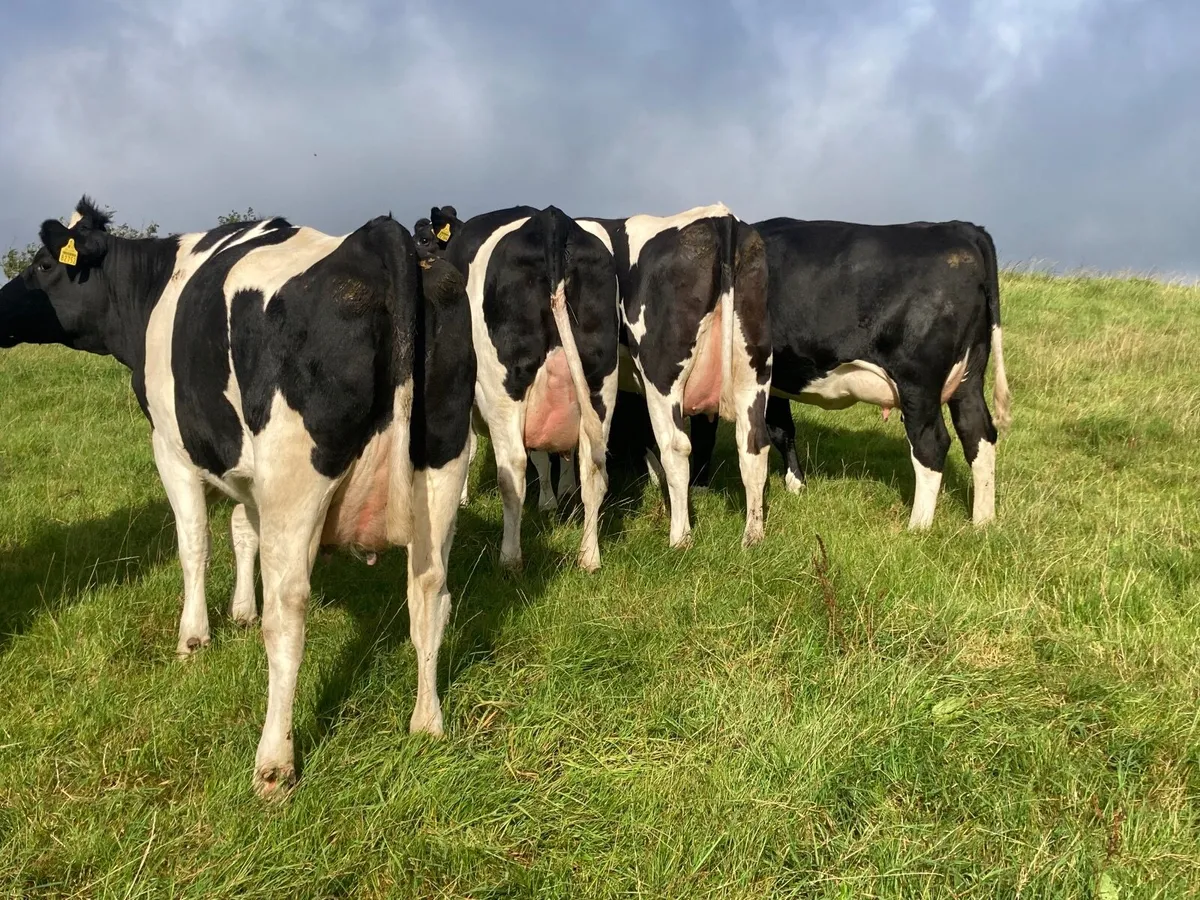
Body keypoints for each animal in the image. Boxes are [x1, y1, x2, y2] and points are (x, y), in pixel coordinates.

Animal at [0, 196, 476, 798]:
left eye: (43, 265)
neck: (150, 290)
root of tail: (376, 238)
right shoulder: (253, 479)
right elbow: (241, 529)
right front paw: (241, 611)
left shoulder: (172, 448)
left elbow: (195, 543)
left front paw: (195, 637)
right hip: (443, 461)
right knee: (430, 590)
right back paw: (427, 722)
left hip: (296, 475)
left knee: (290, 610)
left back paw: (273, 762)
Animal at [420, 204, 620, 572]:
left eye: (425, 239)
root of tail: (553, 219)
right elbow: (545, 454)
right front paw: (551, 502)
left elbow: (469, 447)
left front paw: (463, 499)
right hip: (601, 381)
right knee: (592, 467)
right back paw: (589, 556)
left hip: (503, 386)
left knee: (512, 468)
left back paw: (510, 558)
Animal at [568, 204, 774, 552]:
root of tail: (721, 217)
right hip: (754, 370)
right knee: (754, 445)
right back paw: (753, 536)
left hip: (662, 375)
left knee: (676, 448)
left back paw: (680, 538)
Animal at [687, 217, 1012, 529]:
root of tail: (961, 228)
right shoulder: (772, 380)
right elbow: (782, 429)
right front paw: (796, 484)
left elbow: (704, 432)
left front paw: (698, 485)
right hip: (968, 378)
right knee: (978, 434)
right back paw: (983, 522)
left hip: (918, 383)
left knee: (931, 444)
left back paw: (918, 527)